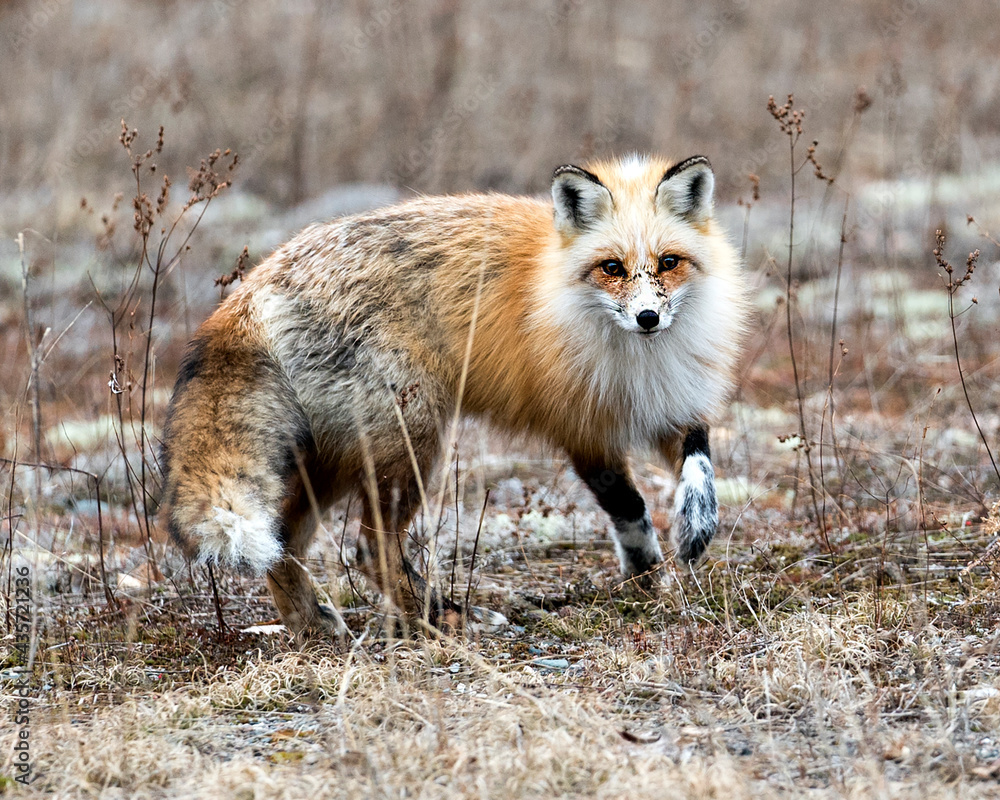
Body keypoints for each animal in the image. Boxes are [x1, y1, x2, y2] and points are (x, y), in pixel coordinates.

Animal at [158, 154, 748, 636]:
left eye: (669, 262)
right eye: (612, 268)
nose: (648, 318)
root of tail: (254, 287)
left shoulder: (669, 403)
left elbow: (698, 463)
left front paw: (690, 532)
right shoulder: (582, 427)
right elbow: (627, 505)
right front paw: (647, 575)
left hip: (330, 461)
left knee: (286, 544)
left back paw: (315, 627)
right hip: (414, 443)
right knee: (370, 548)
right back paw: (443, 616)